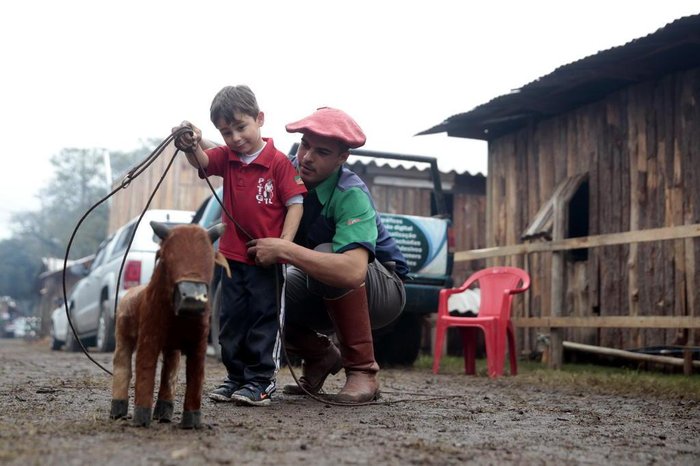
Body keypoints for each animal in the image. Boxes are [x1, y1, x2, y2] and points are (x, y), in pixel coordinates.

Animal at [109, 222, 228, 430]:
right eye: (166, 257)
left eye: (209, 258)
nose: (192, 298)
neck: (179, 319)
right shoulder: (148, 339)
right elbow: (145, 370)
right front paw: (141, 420)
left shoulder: (199, 345)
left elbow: (195, 377)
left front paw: (191, 422)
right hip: (123, 336)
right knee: (122, 363)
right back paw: (117, 411)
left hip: (172, 349)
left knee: (169, 371)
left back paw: (164, 415)